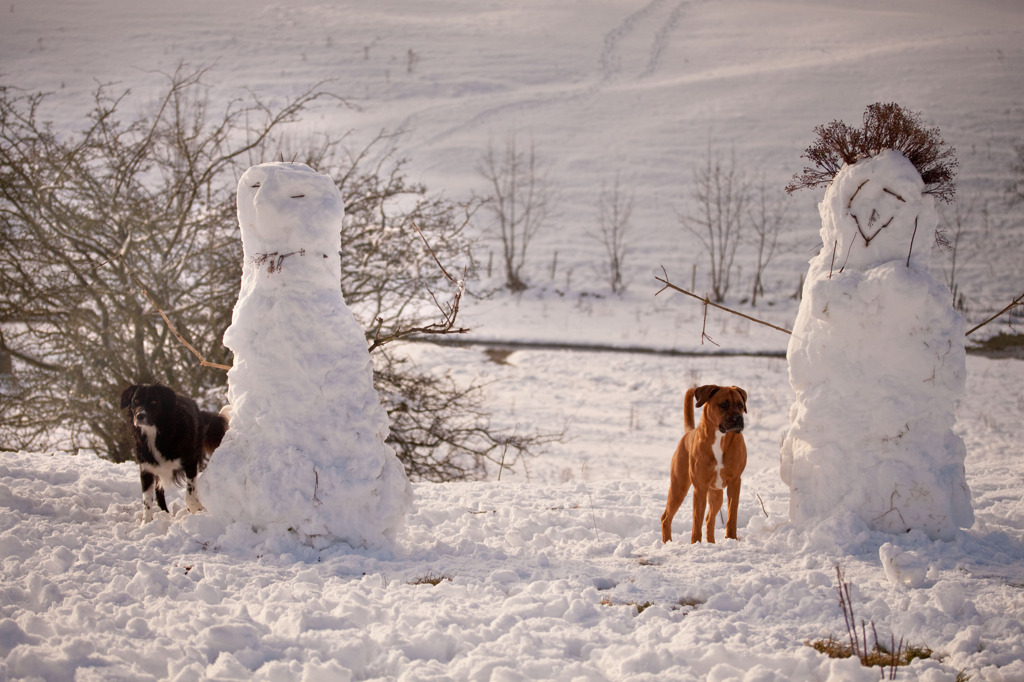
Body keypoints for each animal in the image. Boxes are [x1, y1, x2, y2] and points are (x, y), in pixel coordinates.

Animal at [119, 382, 228, 520]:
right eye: (135, 401)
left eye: (154, 402)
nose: (139, 416)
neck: (156, 433)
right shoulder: (146, 468)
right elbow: (147, 501)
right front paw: (146, 522)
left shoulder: (190, 462)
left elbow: (190, 493)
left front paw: (196, 509)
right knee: (159, 492)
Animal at [659, 382, 749, 540]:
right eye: (724, 404)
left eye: (740, 405)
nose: (739, 418)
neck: (720, 438)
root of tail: (689, 432)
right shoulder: (700, 487)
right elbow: (697, 521)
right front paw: (695, 543)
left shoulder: (734, 482)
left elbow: (732, 515)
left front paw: (731, 539)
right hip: (679, 487)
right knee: (666, 518)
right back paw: (667, 542)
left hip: (716, 494)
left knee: (709, 519)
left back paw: (711, 543)